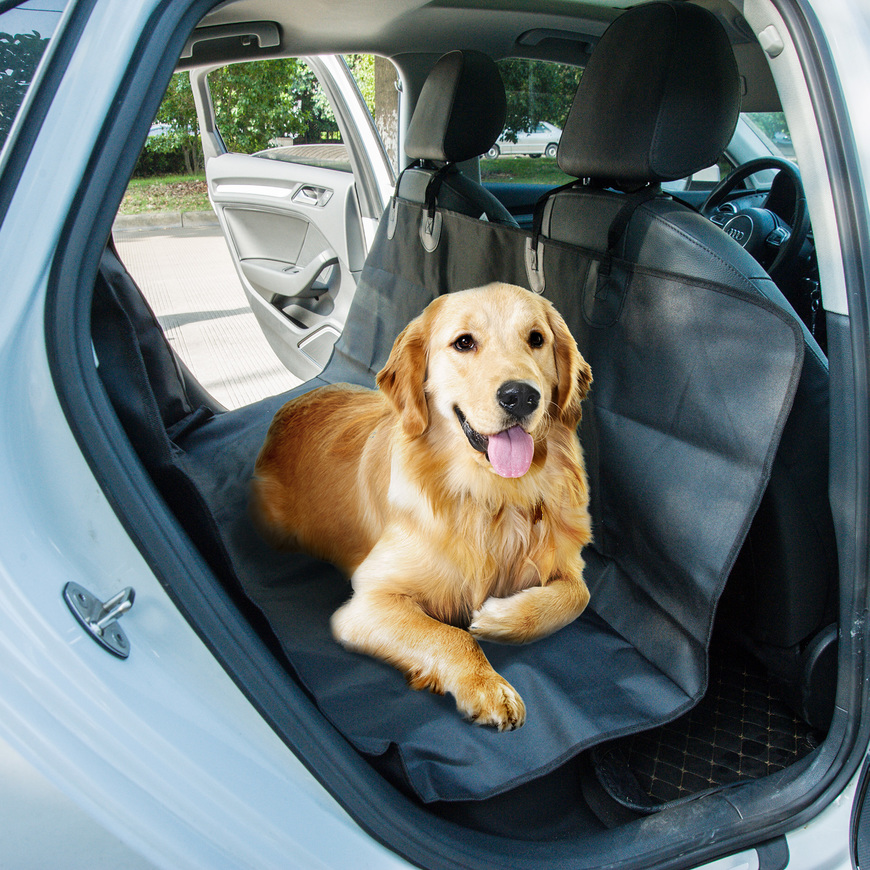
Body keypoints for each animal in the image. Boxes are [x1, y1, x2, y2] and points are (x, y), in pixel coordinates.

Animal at [252, 282, 592, 732]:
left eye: (536, 339)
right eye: (464, 342)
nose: (521, 396)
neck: (495, 497)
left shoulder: (567, 561)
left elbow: (578, 595)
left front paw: (500, 617)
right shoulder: (366, 604)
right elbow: (450, 634)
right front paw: (488, 685)